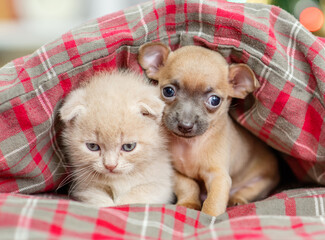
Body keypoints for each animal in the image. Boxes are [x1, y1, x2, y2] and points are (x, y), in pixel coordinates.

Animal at [59, 71, 173, 206]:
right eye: (93, 146)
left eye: (129, 147)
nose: (110, 166)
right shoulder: (85, 186)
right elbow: (96, 197)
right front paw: (108, 204)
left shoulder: (160, 184)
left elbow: (137, 195)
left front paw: (121, 203)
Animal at [137, 42, 278, 217]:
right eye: (168, 91)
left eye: (214, 100)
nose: (185, 125)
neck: (189, 146)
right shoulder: (173, 171)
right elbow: (188, 185)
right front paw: (190, 203)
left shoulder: (218, 177)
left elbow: (214, 201)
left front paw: (209, 216)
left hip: (260, 183)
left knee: (244, 192)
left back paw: (236, 200)